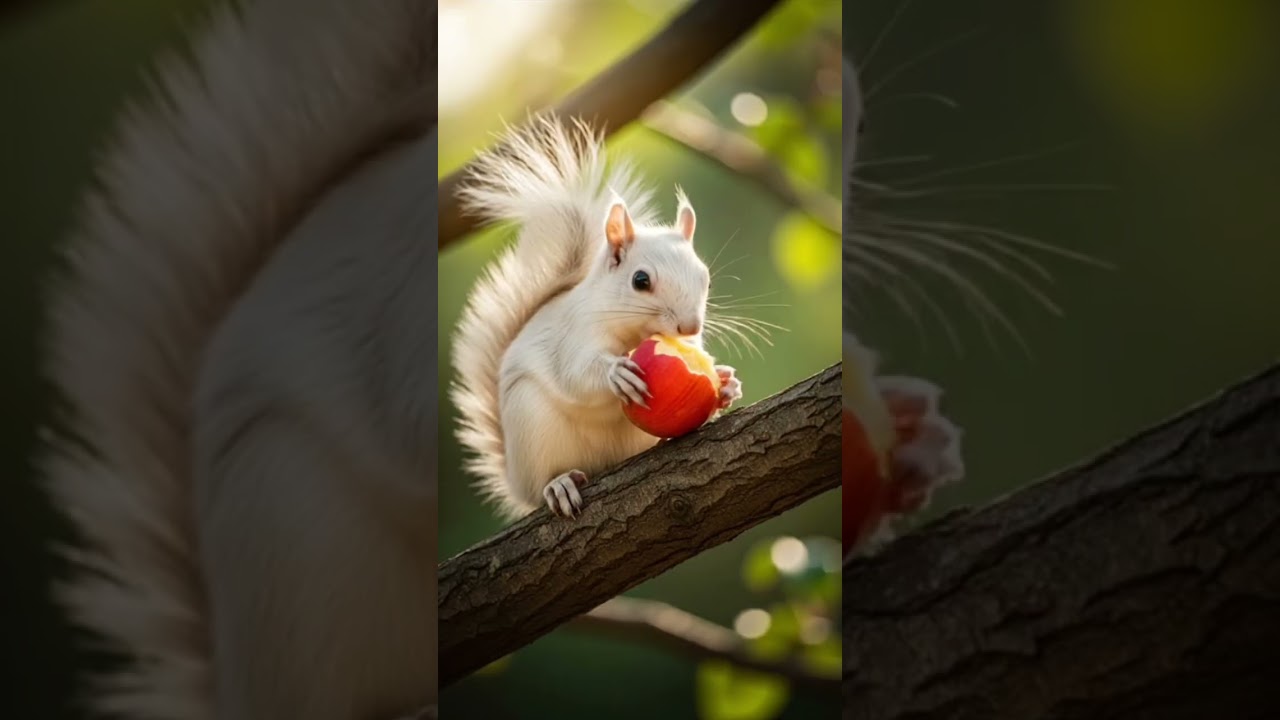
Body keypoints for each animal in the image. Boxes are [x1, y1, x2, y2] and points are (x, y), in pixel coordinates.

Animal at [450, 115, 744, 520]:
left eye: (706, 278)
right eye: (640, 280)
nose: (690, 327)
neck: (633, 333)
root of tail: (514, 476)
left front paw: (727, 383)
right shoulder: (574, 334)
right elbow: (575, 374)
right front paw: (615, 373)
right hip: (533, 426)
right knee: (542, 484)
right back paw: (557, 485)